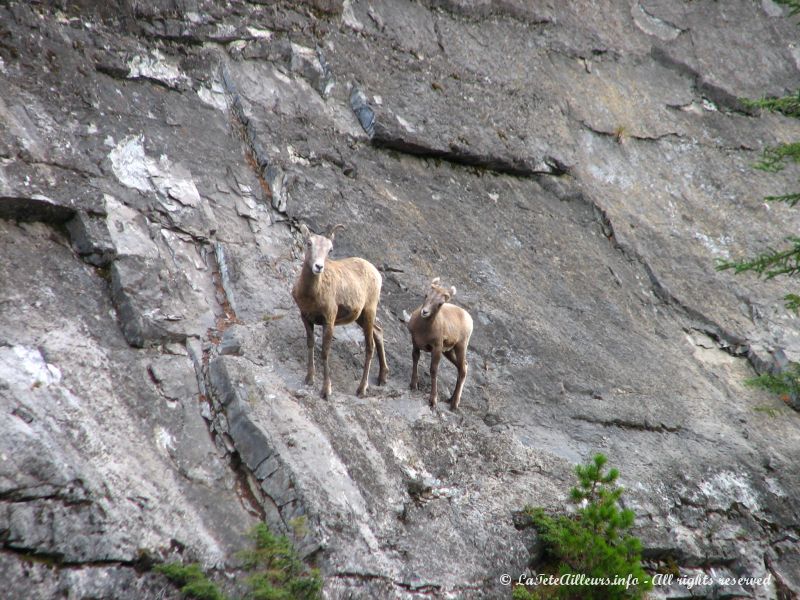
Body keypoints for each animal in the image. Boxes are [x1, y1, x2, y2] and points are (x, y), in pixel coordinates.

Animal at [292, 224, 390, 398]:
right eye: (309, 243)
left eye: (330, 249)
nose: (318, 267)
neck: (312, 294)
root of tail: (376, 273)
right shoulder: (305, 317)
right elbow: (310, 344)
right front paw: (309, 379)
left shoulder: (329, 320)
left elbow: (325, 352)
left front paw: (326, 390)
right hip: (361, 317)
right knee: (378, 332)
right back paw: (382, 378)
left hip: (369, 311)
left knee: (370, 346)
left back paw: (361, 389)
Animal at [410, 278, 472, 410]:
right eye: (426, 295)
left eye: (440, 303)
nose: (425, 312)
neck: (423, 330)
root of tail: (469, 318)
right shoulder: (415, 342)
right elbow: (415, 358)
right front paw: (413, 385)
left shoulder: (437, 348)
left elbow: (433, 370)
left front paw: (433, 401)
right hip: (449, 351)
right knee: (462, 367)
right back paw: (450, 399)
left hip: (460, 347)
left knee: (463, 369)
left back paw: (454, 404)